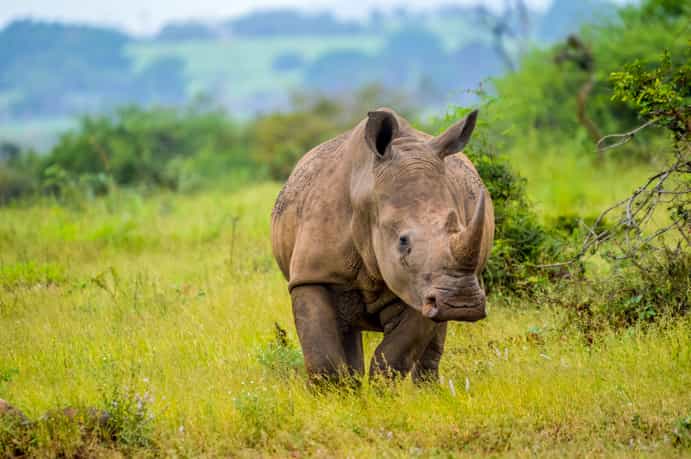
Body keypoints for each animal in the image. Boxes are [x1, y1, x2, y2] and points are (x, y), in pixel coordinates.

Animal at [271, 108, 494, 383]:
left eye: (459, 227)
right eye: (402, 241)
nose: (463, 304)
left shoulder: (419, 286)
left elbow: (395, 354)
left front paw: (380, 390)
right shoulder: (312, 275)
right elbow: (322, 356)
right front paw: (334, 393)